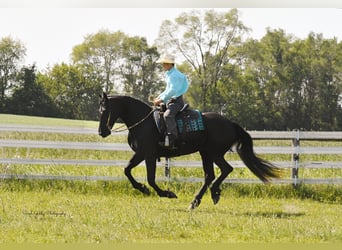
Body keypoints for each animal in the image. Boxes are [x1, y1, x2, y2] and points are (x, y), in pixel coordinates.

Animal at [98, 92, 280, 209]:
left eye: (105, 110)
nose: (102, 132)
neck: (144, 122)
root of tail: (230, 123)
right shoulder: (141, 154)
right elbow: (127, 170)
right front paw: (143, 189)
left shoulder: (147, 154)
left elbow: (149, 178)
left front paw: (166, 193)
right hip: (205, 153)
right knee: (210, 175)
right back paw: (198, 200)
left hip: (214, 153)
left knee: (226, 169)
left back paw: (211, 194)